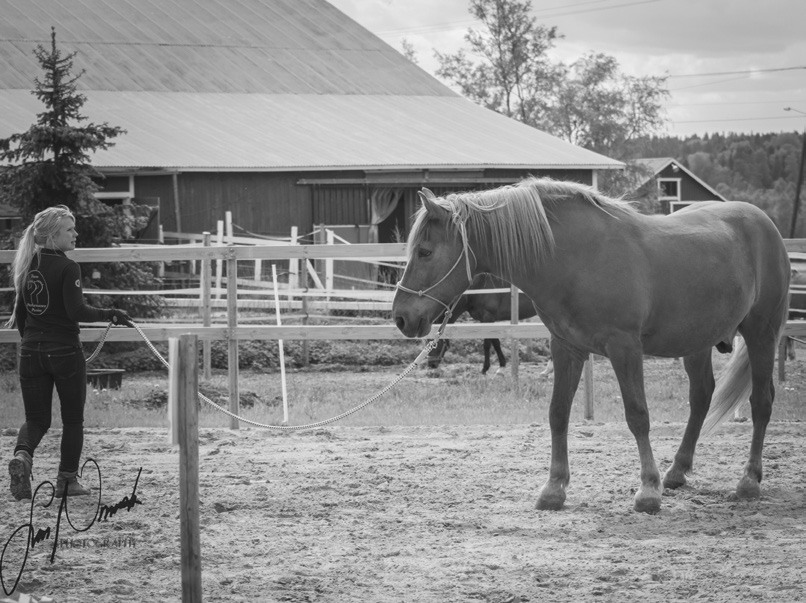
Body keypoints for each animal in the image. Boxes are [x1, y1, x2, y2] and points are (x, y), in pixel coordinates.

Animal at [394, 176, 792, 516]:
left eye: (425, 252)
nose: (400, 317)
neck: (576, 257)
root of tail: (766, 225)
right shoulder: (565, 348)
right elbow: (558, 413)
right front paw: (554, 489)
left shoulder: (624, 348)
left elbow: (637, 415)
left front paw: (647, 492)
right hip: (697, 341)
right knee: (701, 397)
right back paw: (677, 472)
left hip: (761, 333)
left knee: (761, 401)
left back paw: (748, 481)